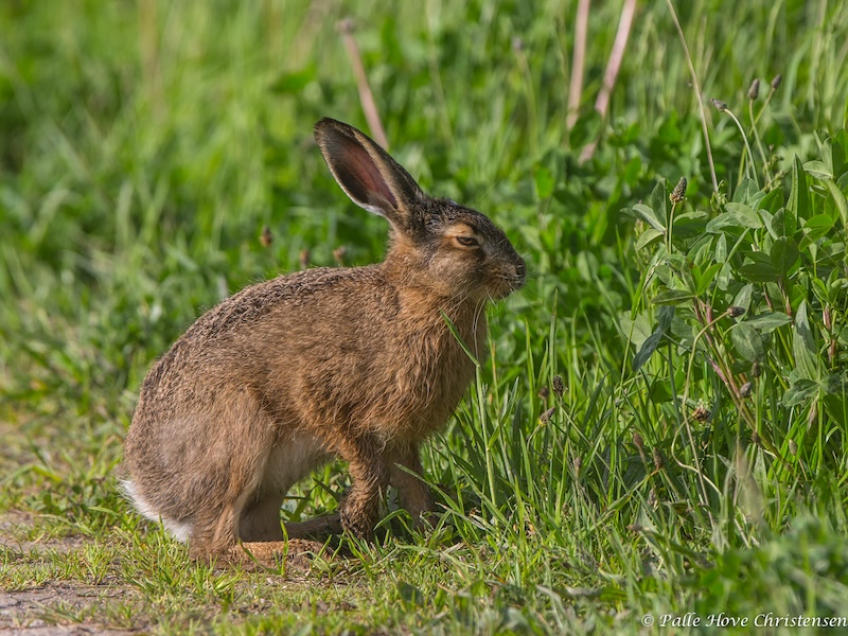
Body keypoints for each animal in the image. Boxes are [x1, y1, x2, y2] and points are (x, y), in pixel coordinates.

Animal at [122, 118, 526, 561]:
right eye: (467, 239)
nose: (520, 272)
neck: (417, 297)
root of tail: (151, 493)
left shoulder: (400, 438)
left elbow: (412, 484)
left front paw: (434, 533)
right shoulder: (324, 398)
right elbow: (367, 465)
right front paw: (359, 516)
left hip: (271, 476)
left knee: (254, 525)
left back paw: (317, 531)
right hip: (240, 433)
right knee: (215, 544)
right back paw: (302, 549)